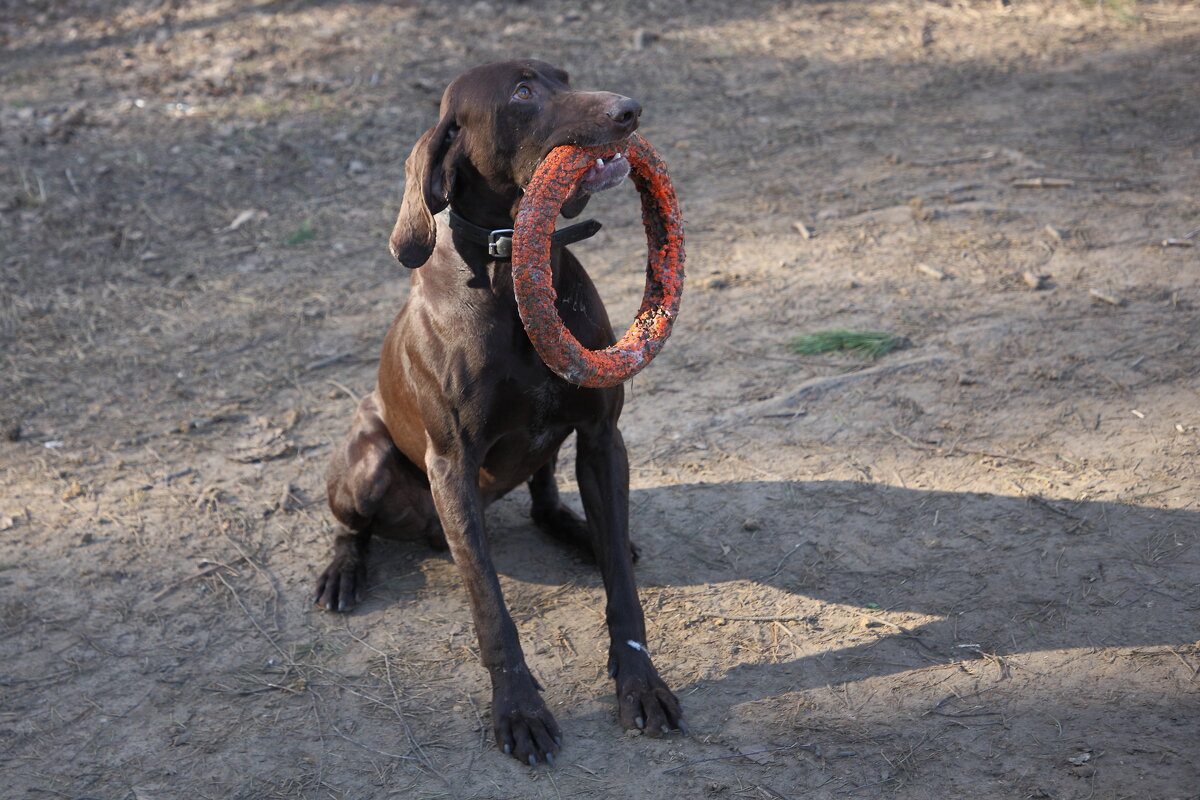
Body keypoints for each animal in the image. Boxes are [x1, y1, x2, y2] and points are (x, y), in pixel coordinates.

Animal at [314, 61, 681, 762]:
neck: (507, 270)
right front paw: (518, 709)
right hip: (368, 465)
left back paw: (588, 535)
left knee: (549, 504)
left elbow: (623, 591)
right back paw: (342, 573)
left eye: (564, 74)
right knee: (352, 526)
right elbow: (490, 607)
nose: (631, 110)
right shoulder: (452, 469)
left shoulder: (602, 438)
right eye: (522, 92)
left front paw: (641, 684)